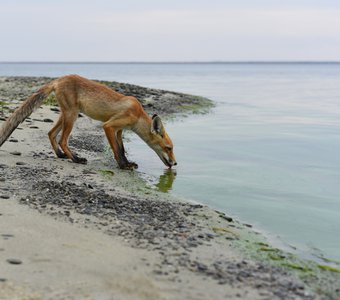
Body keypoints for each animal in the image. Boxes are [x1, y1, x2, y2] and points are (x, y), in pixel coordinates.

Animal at [0, 74, 175, 169]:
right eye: (168, 148)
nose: (175, 163)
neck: (137, 114)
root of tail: (59, 79)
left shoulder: (119, 130)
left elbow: (122, 149)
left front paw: (127, 163)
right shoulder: (109, 126)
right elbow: (116, 151)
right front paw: (122, 166)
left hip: (66, 115)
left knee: (51, 133)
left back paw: (61, 155)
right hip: (72, 115)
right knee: (63, 140)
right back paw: (76, 159)